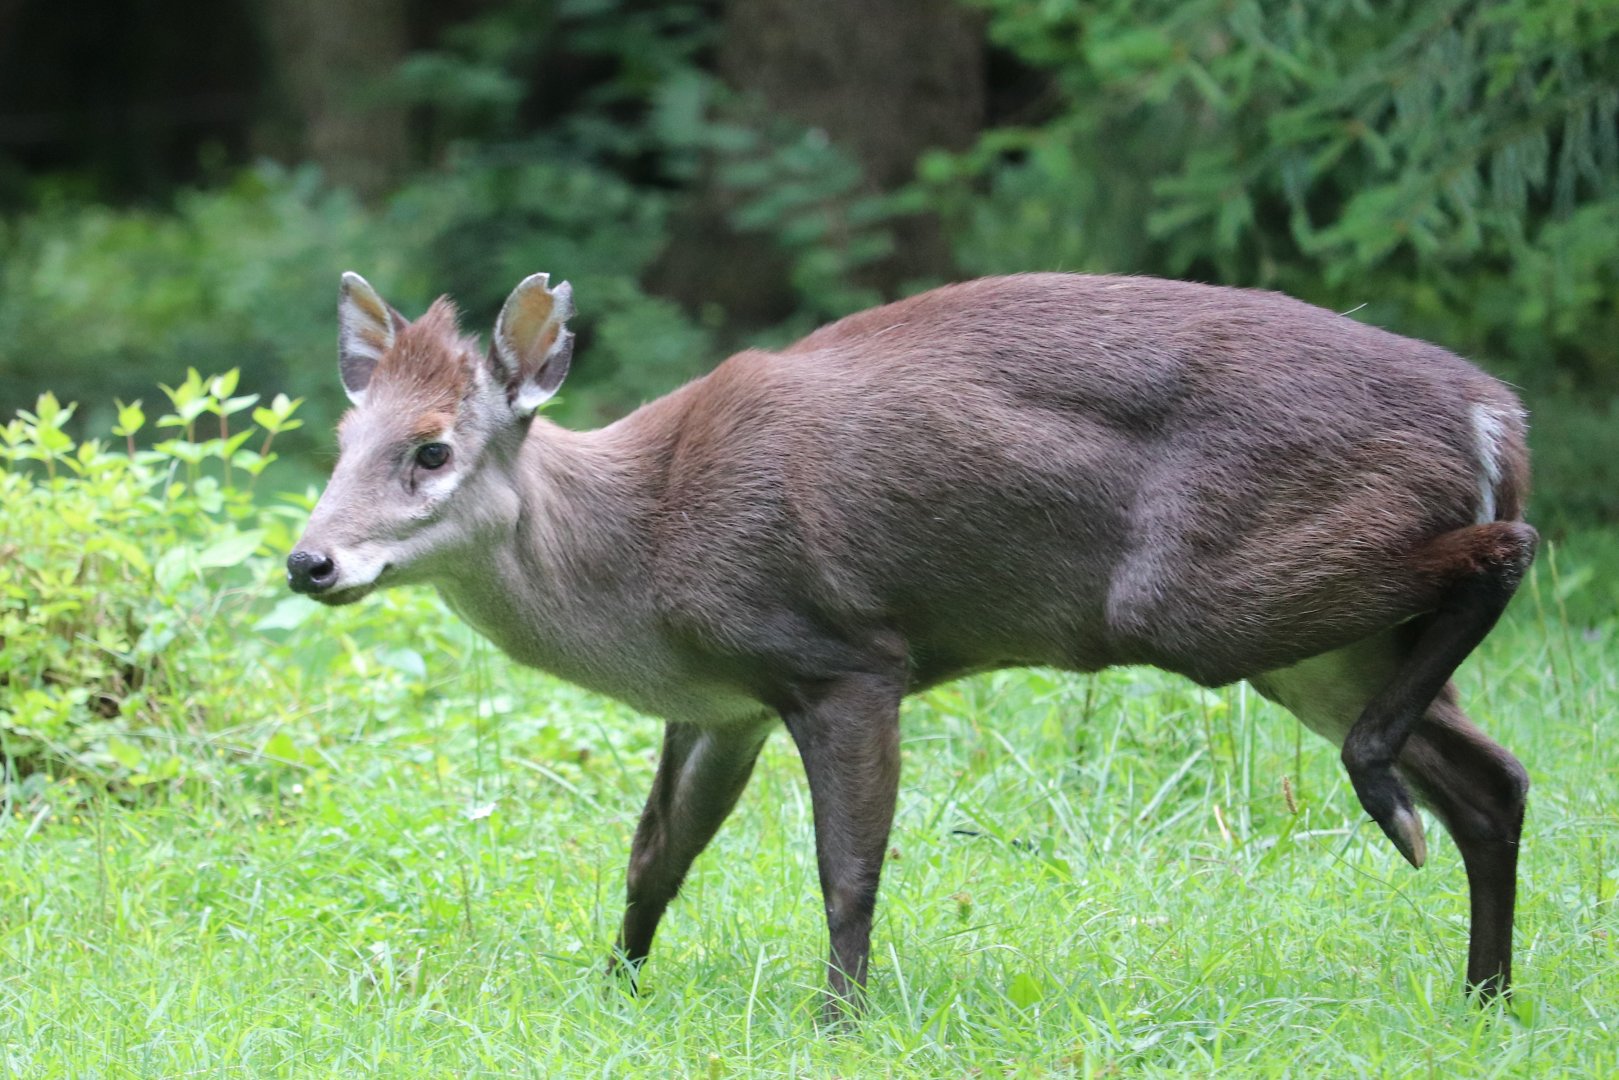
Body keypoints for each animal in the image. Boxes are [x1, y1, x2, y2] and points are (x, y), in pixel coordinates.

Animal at [287, 269, 1536, 1018]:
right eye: (343, 437)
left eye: (433, 449)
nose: (310, 562)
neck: (644, 548)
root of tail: (1492, 415)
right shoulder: (723, 701)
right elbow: (654, 858)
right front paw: (615, 990)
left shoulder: (844, 658)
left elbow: (847, 870)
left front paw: (836, 1020)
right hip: (1311, 649)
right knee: (1496, 778)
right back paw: (1481, 993)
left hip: (1204, 602)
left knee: (1507, 553)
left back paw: (1388, 804)